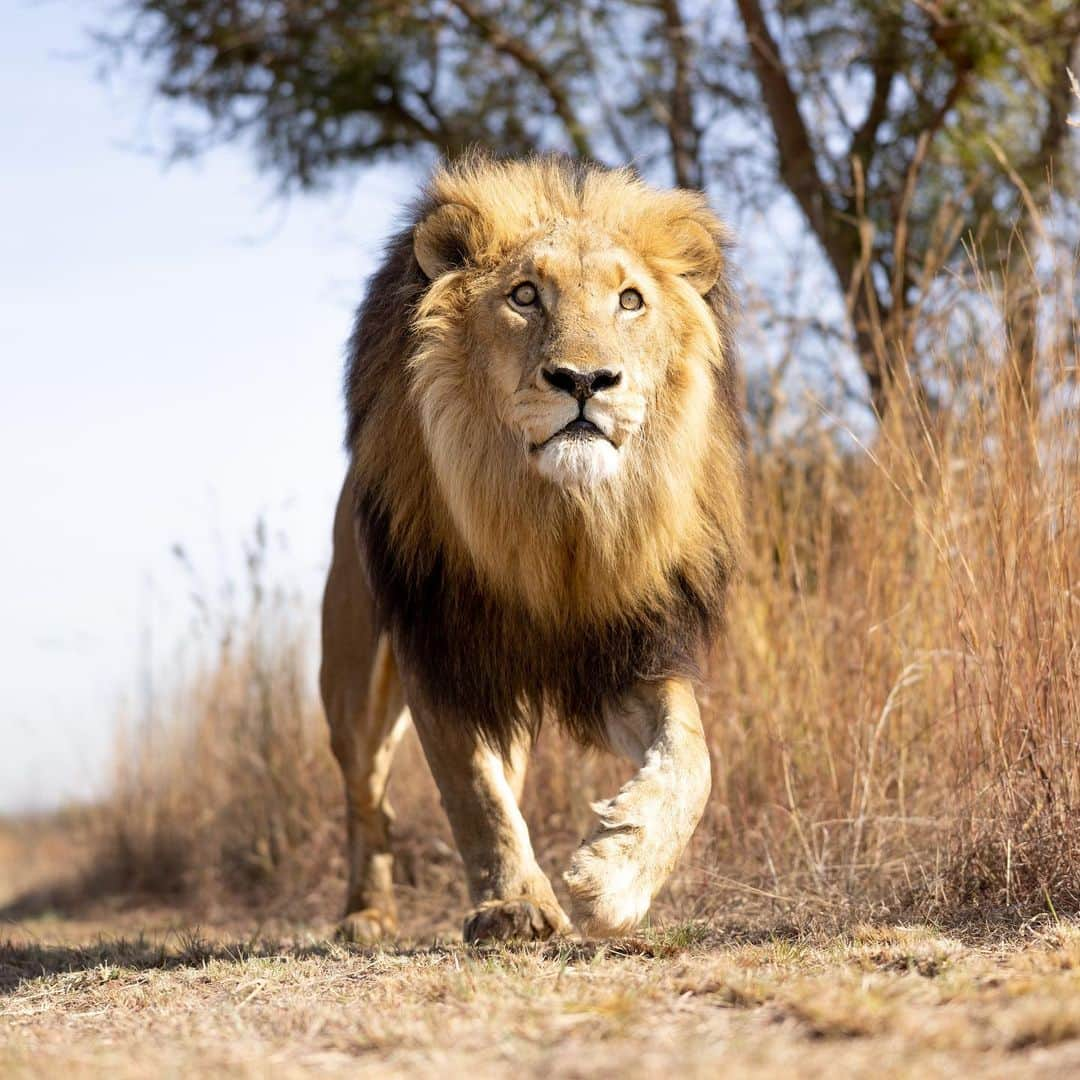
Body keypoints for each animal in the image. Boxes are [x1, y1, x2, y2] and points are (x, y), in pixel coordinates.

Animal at [317, 156, 743, 941]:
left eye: (630, 301)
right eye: (524, 296)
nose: (584, 380)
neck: (554, 522)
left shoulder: (623, 648)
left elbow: (693, 759)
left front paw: (617, 875)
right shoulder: (442, 644)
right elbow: (473, 793)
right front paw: (516, 905)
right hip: (352, 678)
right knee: (368, 797)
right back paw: (367, 913)